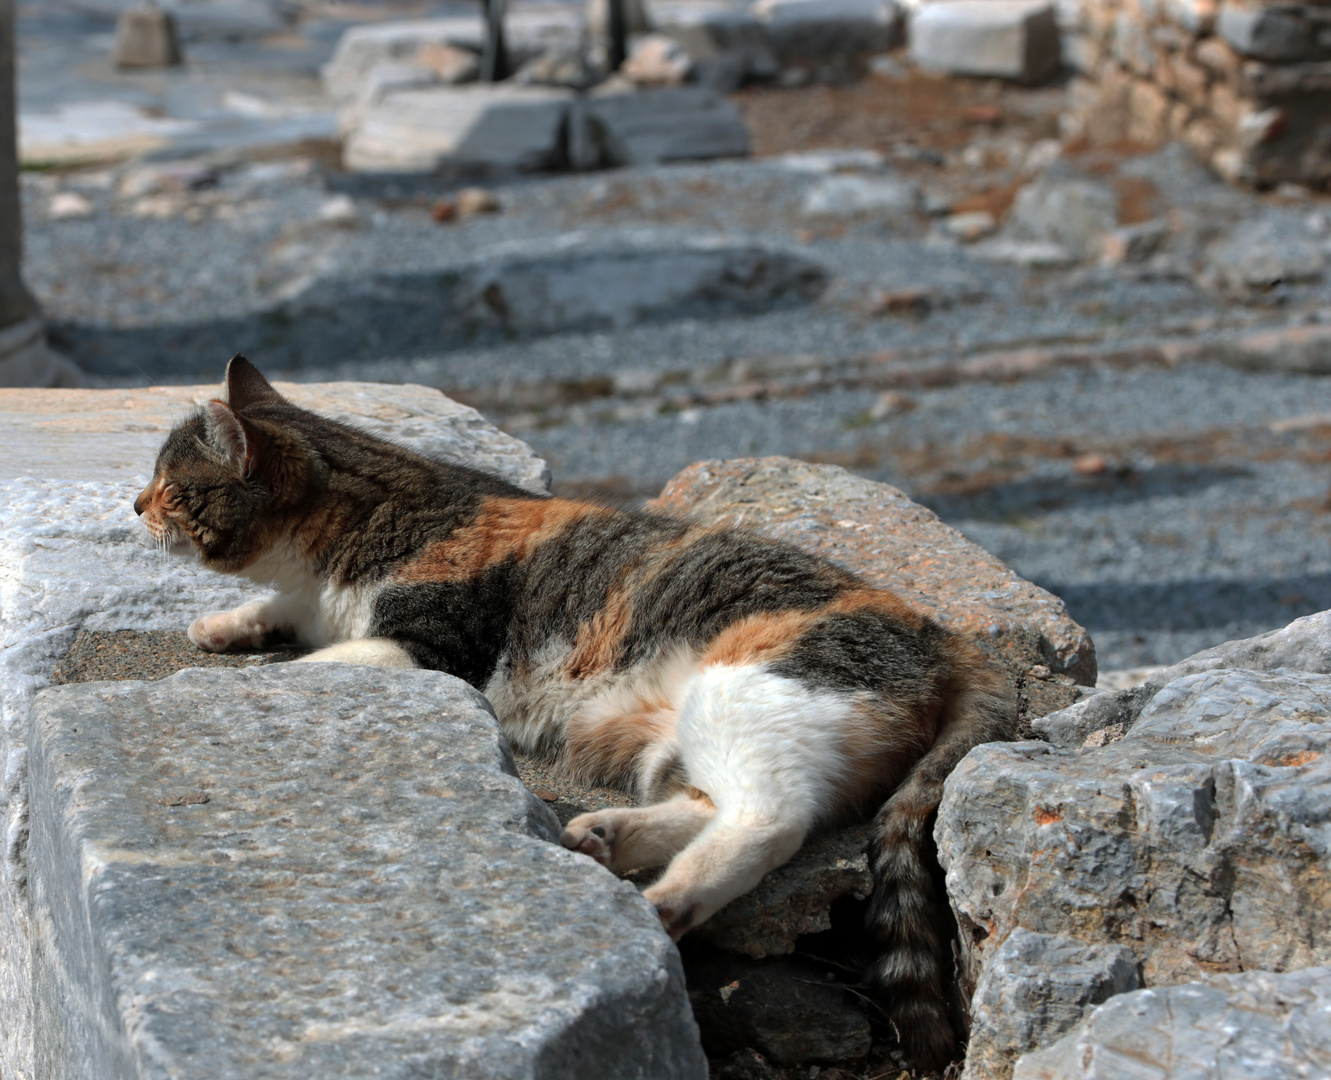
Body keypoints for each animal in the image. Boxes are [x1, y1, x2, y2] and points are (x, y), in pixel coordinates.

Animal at [135, 356, 1011, 1070]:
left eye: (174, 487)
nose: (135, 503)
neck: (366, 521)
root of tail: (949, 642)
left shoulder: (429, 653)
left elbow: (323, 662)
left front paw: (222, 676)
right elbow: (281, 612)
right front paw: (222, 625)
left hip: (747, 691)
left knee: (770, 819)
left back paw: (663, 900)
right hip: (683, 736)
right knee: (714, 801)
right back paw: (607, 836)